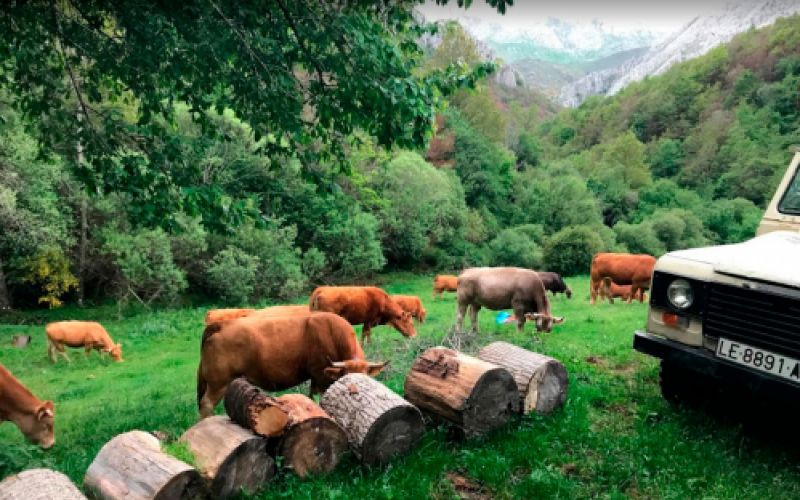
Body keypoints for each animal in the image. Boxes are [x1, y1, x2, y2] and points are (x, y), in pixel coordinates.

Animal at [198, 312, 390, 418]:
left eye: (365, 378)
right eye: (346, 376)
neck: (333, 334)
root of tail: (221, 324)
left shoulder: (314, 378)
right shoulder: (320, 376)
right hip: (219, 383)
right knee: (206, 404)